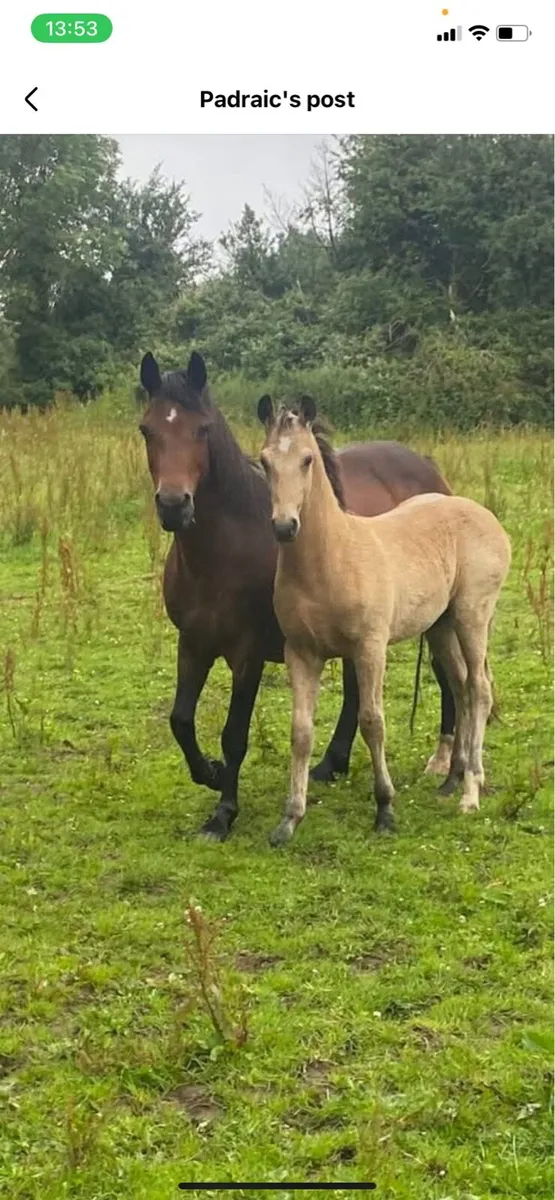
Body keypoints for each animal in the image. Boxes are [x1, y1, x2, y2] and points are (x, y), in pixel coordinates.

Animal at [138, 350, 455, 841]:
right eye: (147, 430)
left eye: (202, 429)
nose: (174, 506)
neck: (225, 547)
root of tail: (428, 471)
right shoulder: (193, 643)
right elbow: (181, 721)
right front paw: (209, 772)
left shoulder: (246, 652)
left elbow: (234, 733)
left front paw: (223, 812)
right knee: (356, 692)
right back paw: (332, 763)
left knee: (447, 677)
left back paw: (443, 765)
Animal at [257, 395, 511, 846]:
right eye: (265, 461)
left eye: (307, 459)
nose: (285, 526)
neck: (330, 560)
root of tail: (484, 515)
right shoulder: (301, 653)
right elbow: (301, 732)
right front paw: (289, 819)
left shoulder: (369, 648)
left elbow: (372, 722)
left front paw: (385, 810)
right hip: (441, 625)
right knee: (461, 686)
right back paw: (453, 778)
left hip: (472, 615)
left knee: (480, 688)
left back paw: (470, 792)